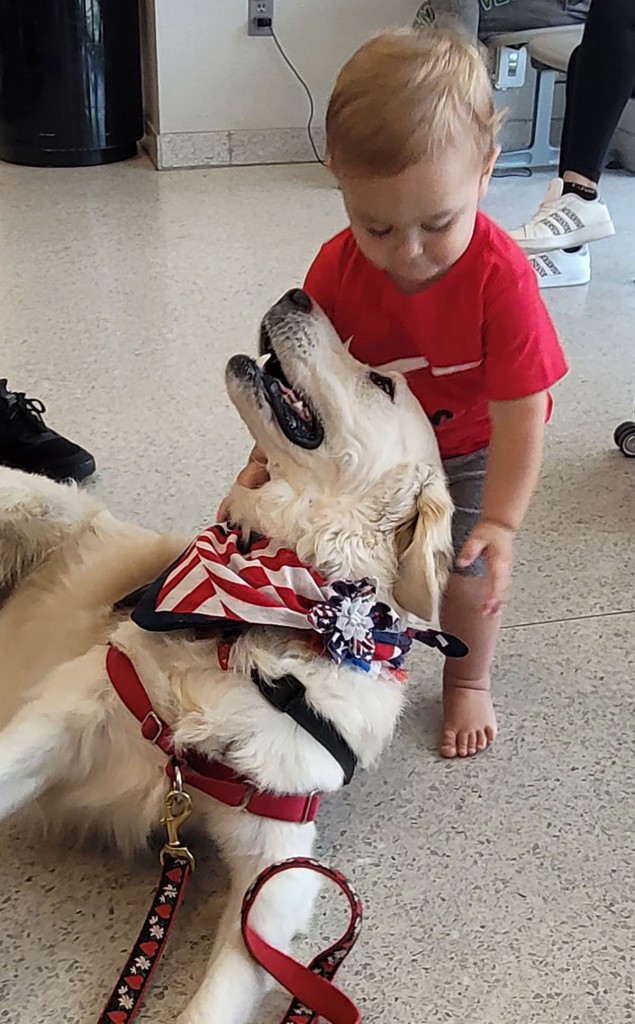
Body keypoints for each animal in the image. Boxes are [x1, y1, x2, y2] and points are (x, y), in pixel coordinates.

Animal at [0, 288, 454, 1024]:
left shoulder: (277, 870)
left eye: (382, 384)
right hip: (36, 502)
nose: (297, 293)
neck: (266, 617)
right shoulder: (76, 707)